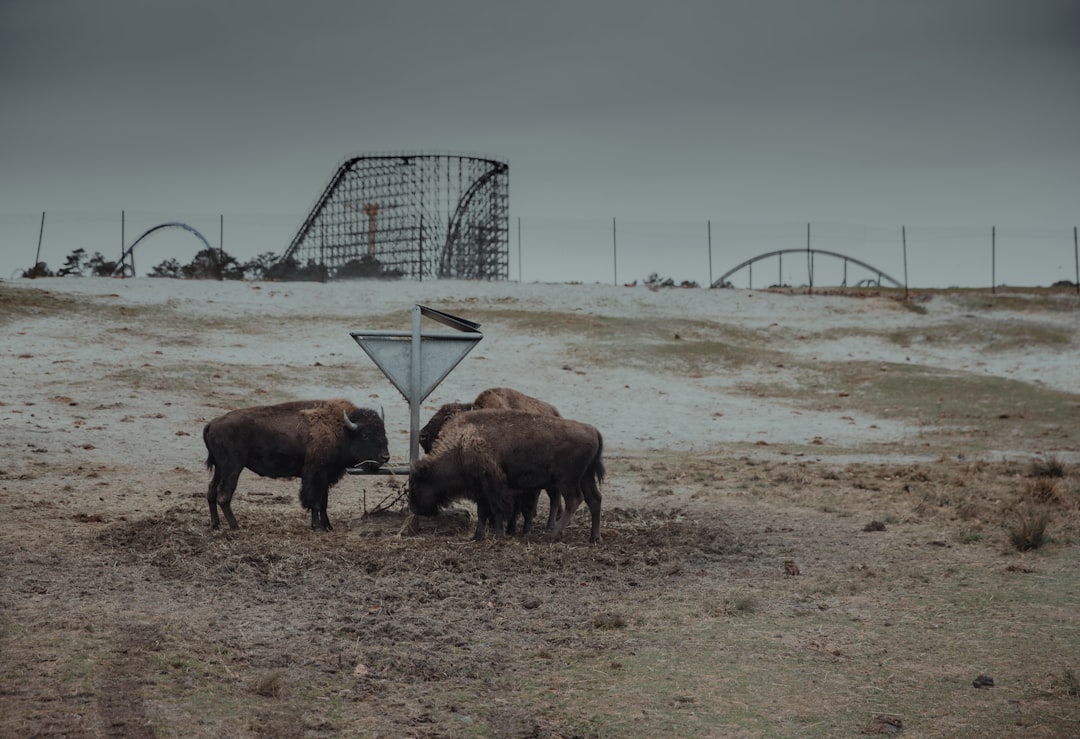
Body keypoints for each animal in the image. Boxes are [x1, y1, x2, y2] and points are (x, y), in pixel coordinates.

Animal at [203, 397, 388, 531]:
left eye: (383, 431)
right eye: (365, 434)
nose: (385, 457)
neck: (341, 431)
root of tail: (213, 423)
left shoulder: (326, 477)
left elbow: (324, 502)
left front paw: (328, 526)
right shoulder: (315, 475)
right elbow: (314, 501)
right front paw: (317, 526)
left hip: (220, 468)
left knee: (211, 491)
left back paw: (216, 525)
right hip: (232, 468)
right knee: (223, 496)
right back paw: (236, 526)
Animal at [408, 410, 604, 542]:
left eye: (417, 484)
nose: (415, 508)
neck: (461, 443)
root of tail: (592, 430)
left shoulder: (494, 486)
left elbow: (497, 511)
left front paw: (499, 536)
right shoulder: (481, 491)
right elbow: (482, 513)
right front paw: (477, 536)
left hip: (567, 481)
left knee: (574, 500)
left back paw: (555, 534)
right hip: (585, 478)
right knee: (594, 500)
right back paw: (594, 538)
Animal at [416, 386, 565, 531]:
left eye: (447, 418)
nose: (422, 436)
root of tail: (556, 413)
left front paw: (510, 528)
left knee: (554, 498)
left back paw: (550, 526)